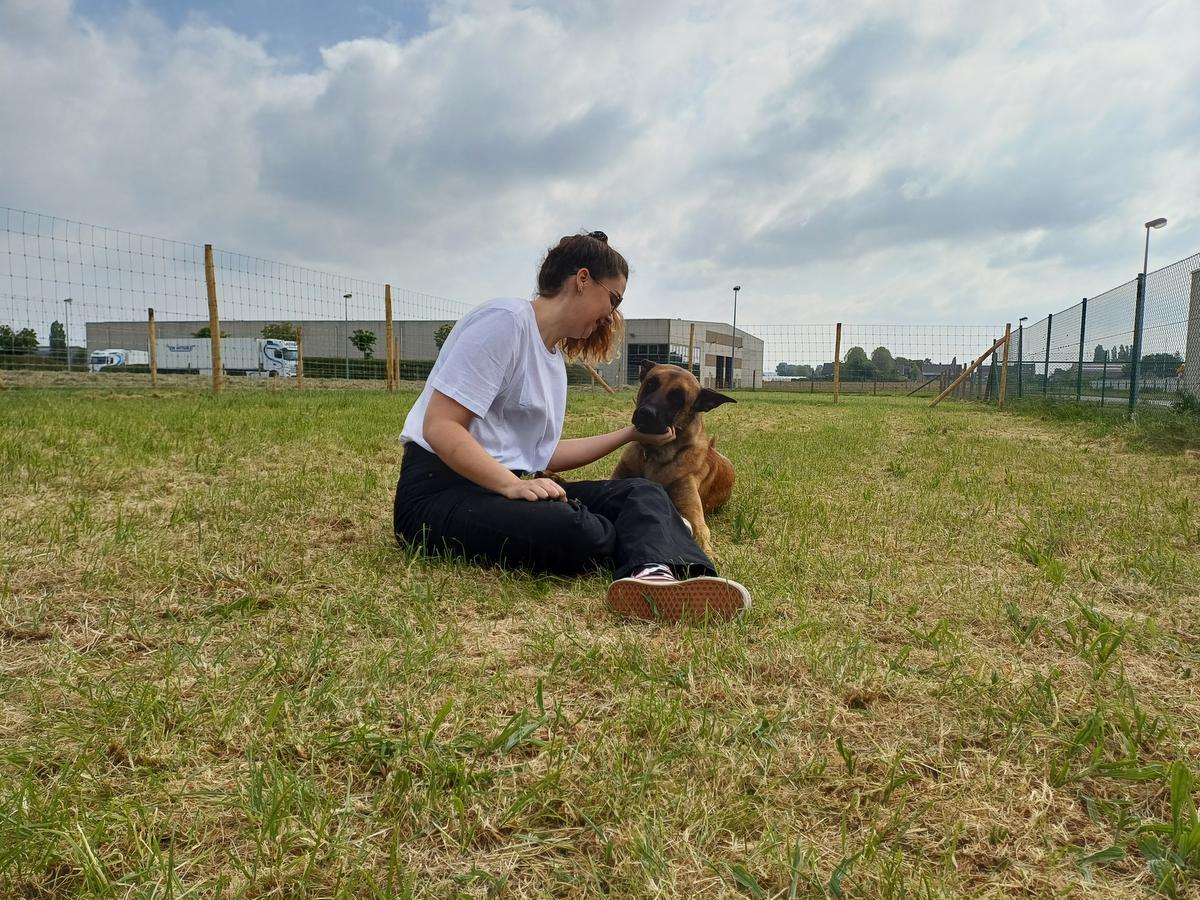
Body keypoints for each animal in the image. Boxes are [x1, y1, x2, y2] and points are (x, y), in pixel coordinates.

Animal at [614, 360, 734, 556]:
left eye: (678, 398)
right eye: (650, 384)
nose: (646, 413)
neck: (654, 456)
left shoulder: (692, 512)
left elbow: (701, 532)